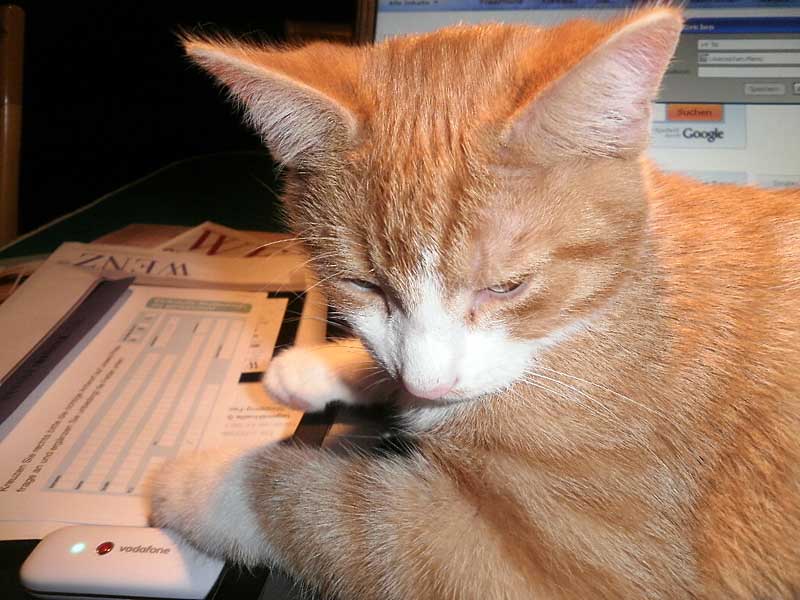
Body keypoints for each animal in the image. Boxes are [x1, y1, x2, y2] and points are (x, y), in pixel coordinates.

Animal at [148, 8, 800, 599]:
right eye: (367, 286)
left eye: (507, 287)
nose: (430, 385)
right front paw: (316, 366)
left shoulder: (559, 567)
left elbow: (338, 518)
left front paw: (198, 484)